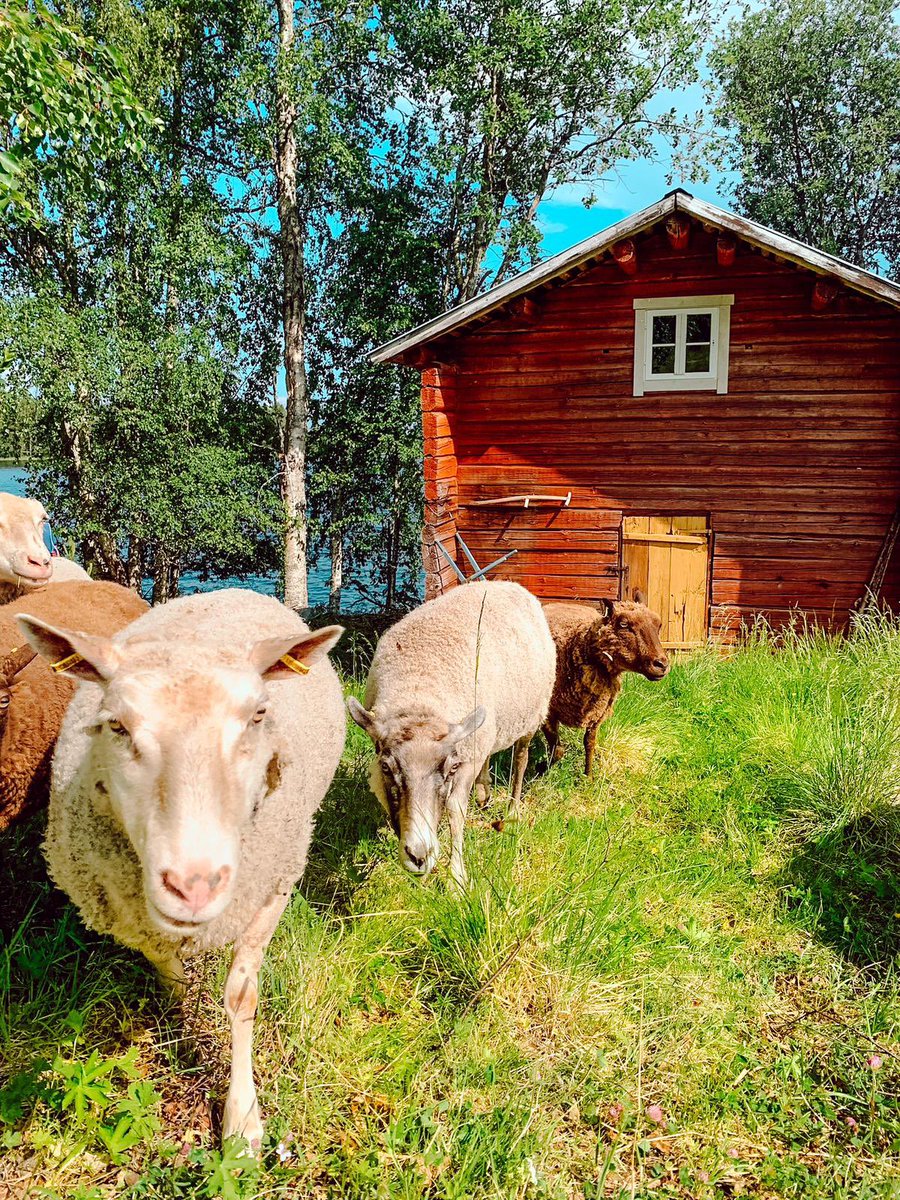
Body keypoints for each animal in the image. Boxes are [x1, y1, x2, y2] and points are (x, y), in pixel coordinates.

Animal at [18, 588, 345, 1149]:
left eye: (259, 715)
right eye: (116, 724)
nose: (194, 887)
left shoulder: (271, 890)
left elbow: (241, 997)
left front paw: (242, 1120)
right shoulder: (136, 918)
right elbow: (172, 977)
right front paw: (183, 1021)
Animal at [348, 580, 556, 887]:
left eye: (451, 768)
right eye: (386, 768)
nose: (419, 855)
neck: (419, 691)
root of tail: (506, 583)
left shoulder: (465, 763)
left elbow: (456, 813)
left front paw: (457, 879)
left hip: (531, 717)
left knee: (521, 759)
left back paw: (512, 809)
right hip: (485, 732)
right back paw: (483, 794)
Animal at [541, 591, 669, 777]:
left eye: (658, 625)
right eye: (623, 624)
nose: (662, 664)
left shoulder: (597, 713)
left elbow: (589, 744)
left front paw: (588, 777)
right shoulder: (547, 713)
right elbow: (557, 750)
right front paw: (541, 769)